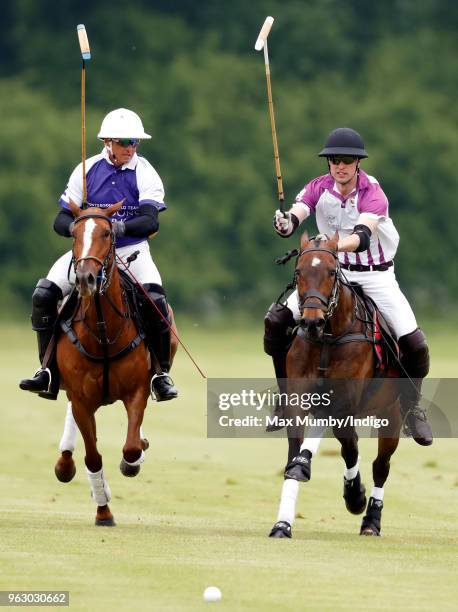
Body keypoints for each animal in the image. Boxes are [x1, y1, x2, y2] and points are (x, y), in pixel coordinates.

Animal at [52, 202, 177, 524]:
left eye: (108, 233)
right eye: (74, 233)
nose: (85, 278)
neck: (103, 332)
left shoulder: (137, 391)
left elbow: (131, 447)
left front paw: (132, 462)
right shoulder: (82, 400)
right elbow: (92, 456)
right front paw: (103, 509)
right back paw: (65, 461)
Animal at [270, 232, 402, 536]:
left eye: (332, 272)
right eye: (298, 271)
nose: (311, 322)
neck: (328, 336)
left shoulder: (343, 401)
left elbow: (347, 448)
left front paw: (355, 496)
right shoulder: (301, 396)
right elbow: (296, 452)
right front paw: (282, 523)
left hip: (392, 414)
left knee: (381, 465)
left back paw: (371, 520)